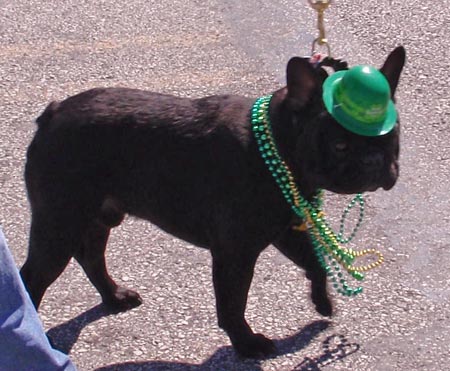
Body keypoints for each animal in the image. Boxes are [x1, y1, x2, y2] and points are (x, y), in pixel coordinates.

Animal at [21, 45, 406, 358]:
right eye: (339, 146)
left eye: (394, 138)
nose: (375, 160)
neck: (279, 145)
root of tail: (52, 113)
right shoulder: (235, 252)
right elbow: (233, 302)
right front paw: (247, 344)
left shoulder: (285, 230)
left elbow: (314, 262)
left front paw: (322, 302)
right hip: (59, 223)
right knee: (33, 278)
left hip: (97, 217)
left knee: (91, 256)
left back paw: (114, 297)